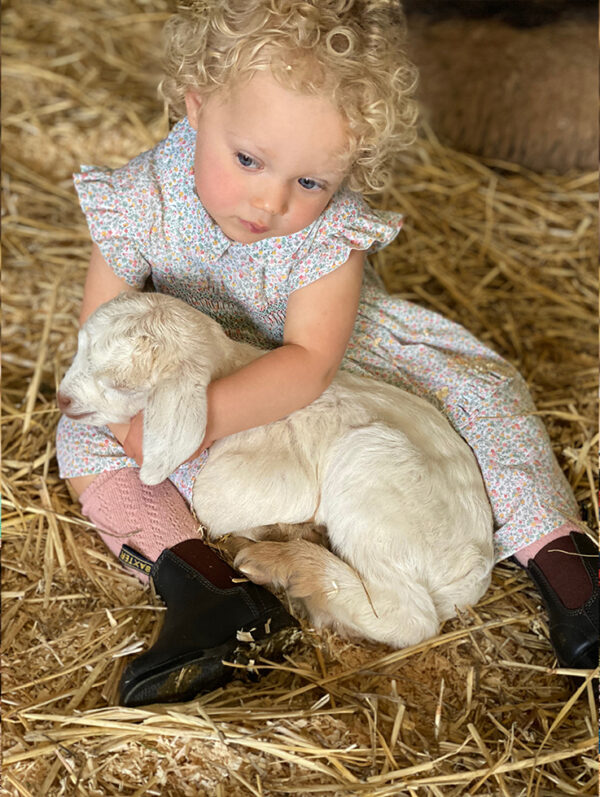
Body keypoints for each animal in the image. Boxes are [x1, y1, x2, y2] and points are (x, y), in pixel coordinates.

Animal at [58, 290, 494, 648]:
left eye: (120, 385)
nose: (63, 399)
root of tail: (475, 570)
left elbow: (210, 502)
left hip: (373, 483)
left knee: (409, 618)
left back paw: (285, 562)